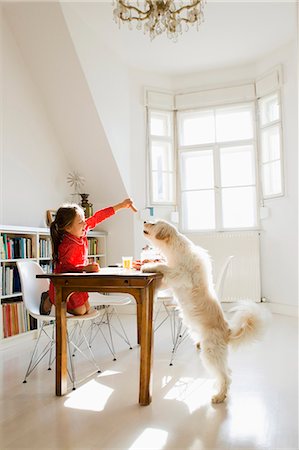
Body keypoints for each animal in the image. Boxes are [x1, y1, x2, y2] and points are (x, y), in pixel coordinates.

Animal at [142, 220, 270, 402]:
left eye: (153, 223)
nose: (145, 221)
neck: (175, 248)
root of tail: (227, 331)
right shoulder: (170, 280)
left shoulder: (180, 274)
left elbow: (163, 266)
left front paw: (148, 266)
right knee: (228, 373)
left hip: (210, 354)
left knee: (225, 376)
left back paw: (219, 396)